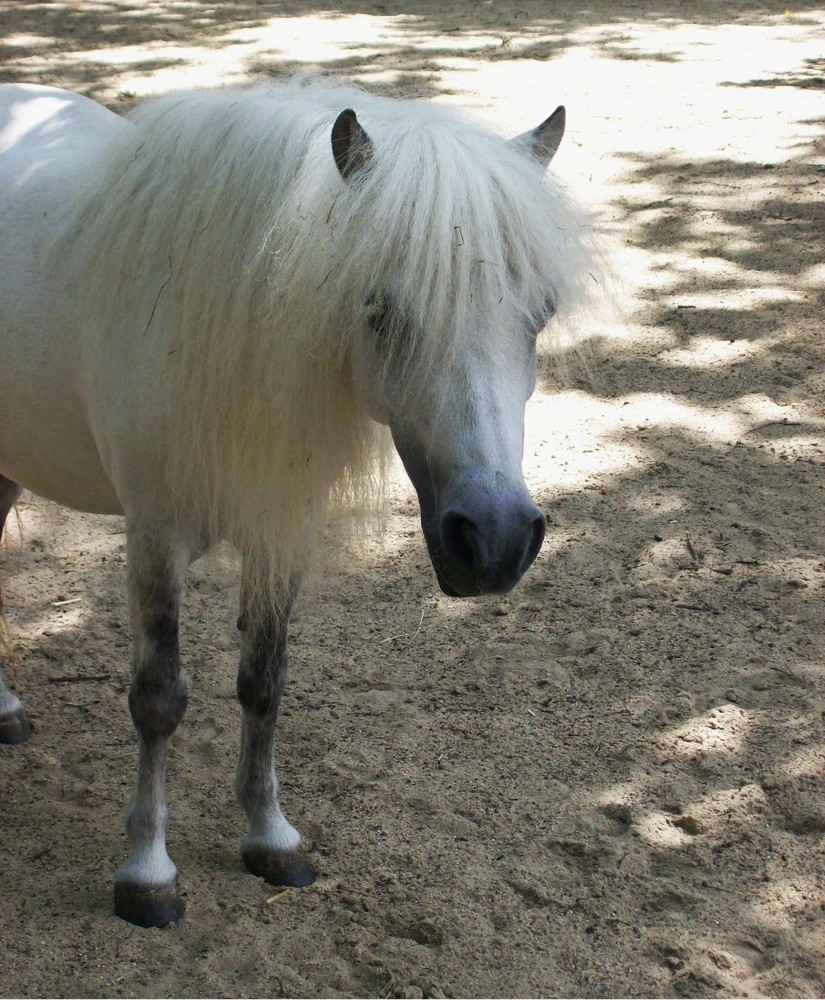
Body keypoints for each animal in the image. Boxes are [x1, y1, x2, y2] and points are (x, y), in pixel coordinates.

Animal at [0, 78, 596, 928]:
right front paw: (147, 874)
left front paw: (269, 837)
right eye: (378, 309)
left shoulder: (279, 529)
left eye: (540, 310)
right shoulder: (154, 539)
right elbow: (159, 698)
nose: (495, 541)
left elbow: (264, 681)